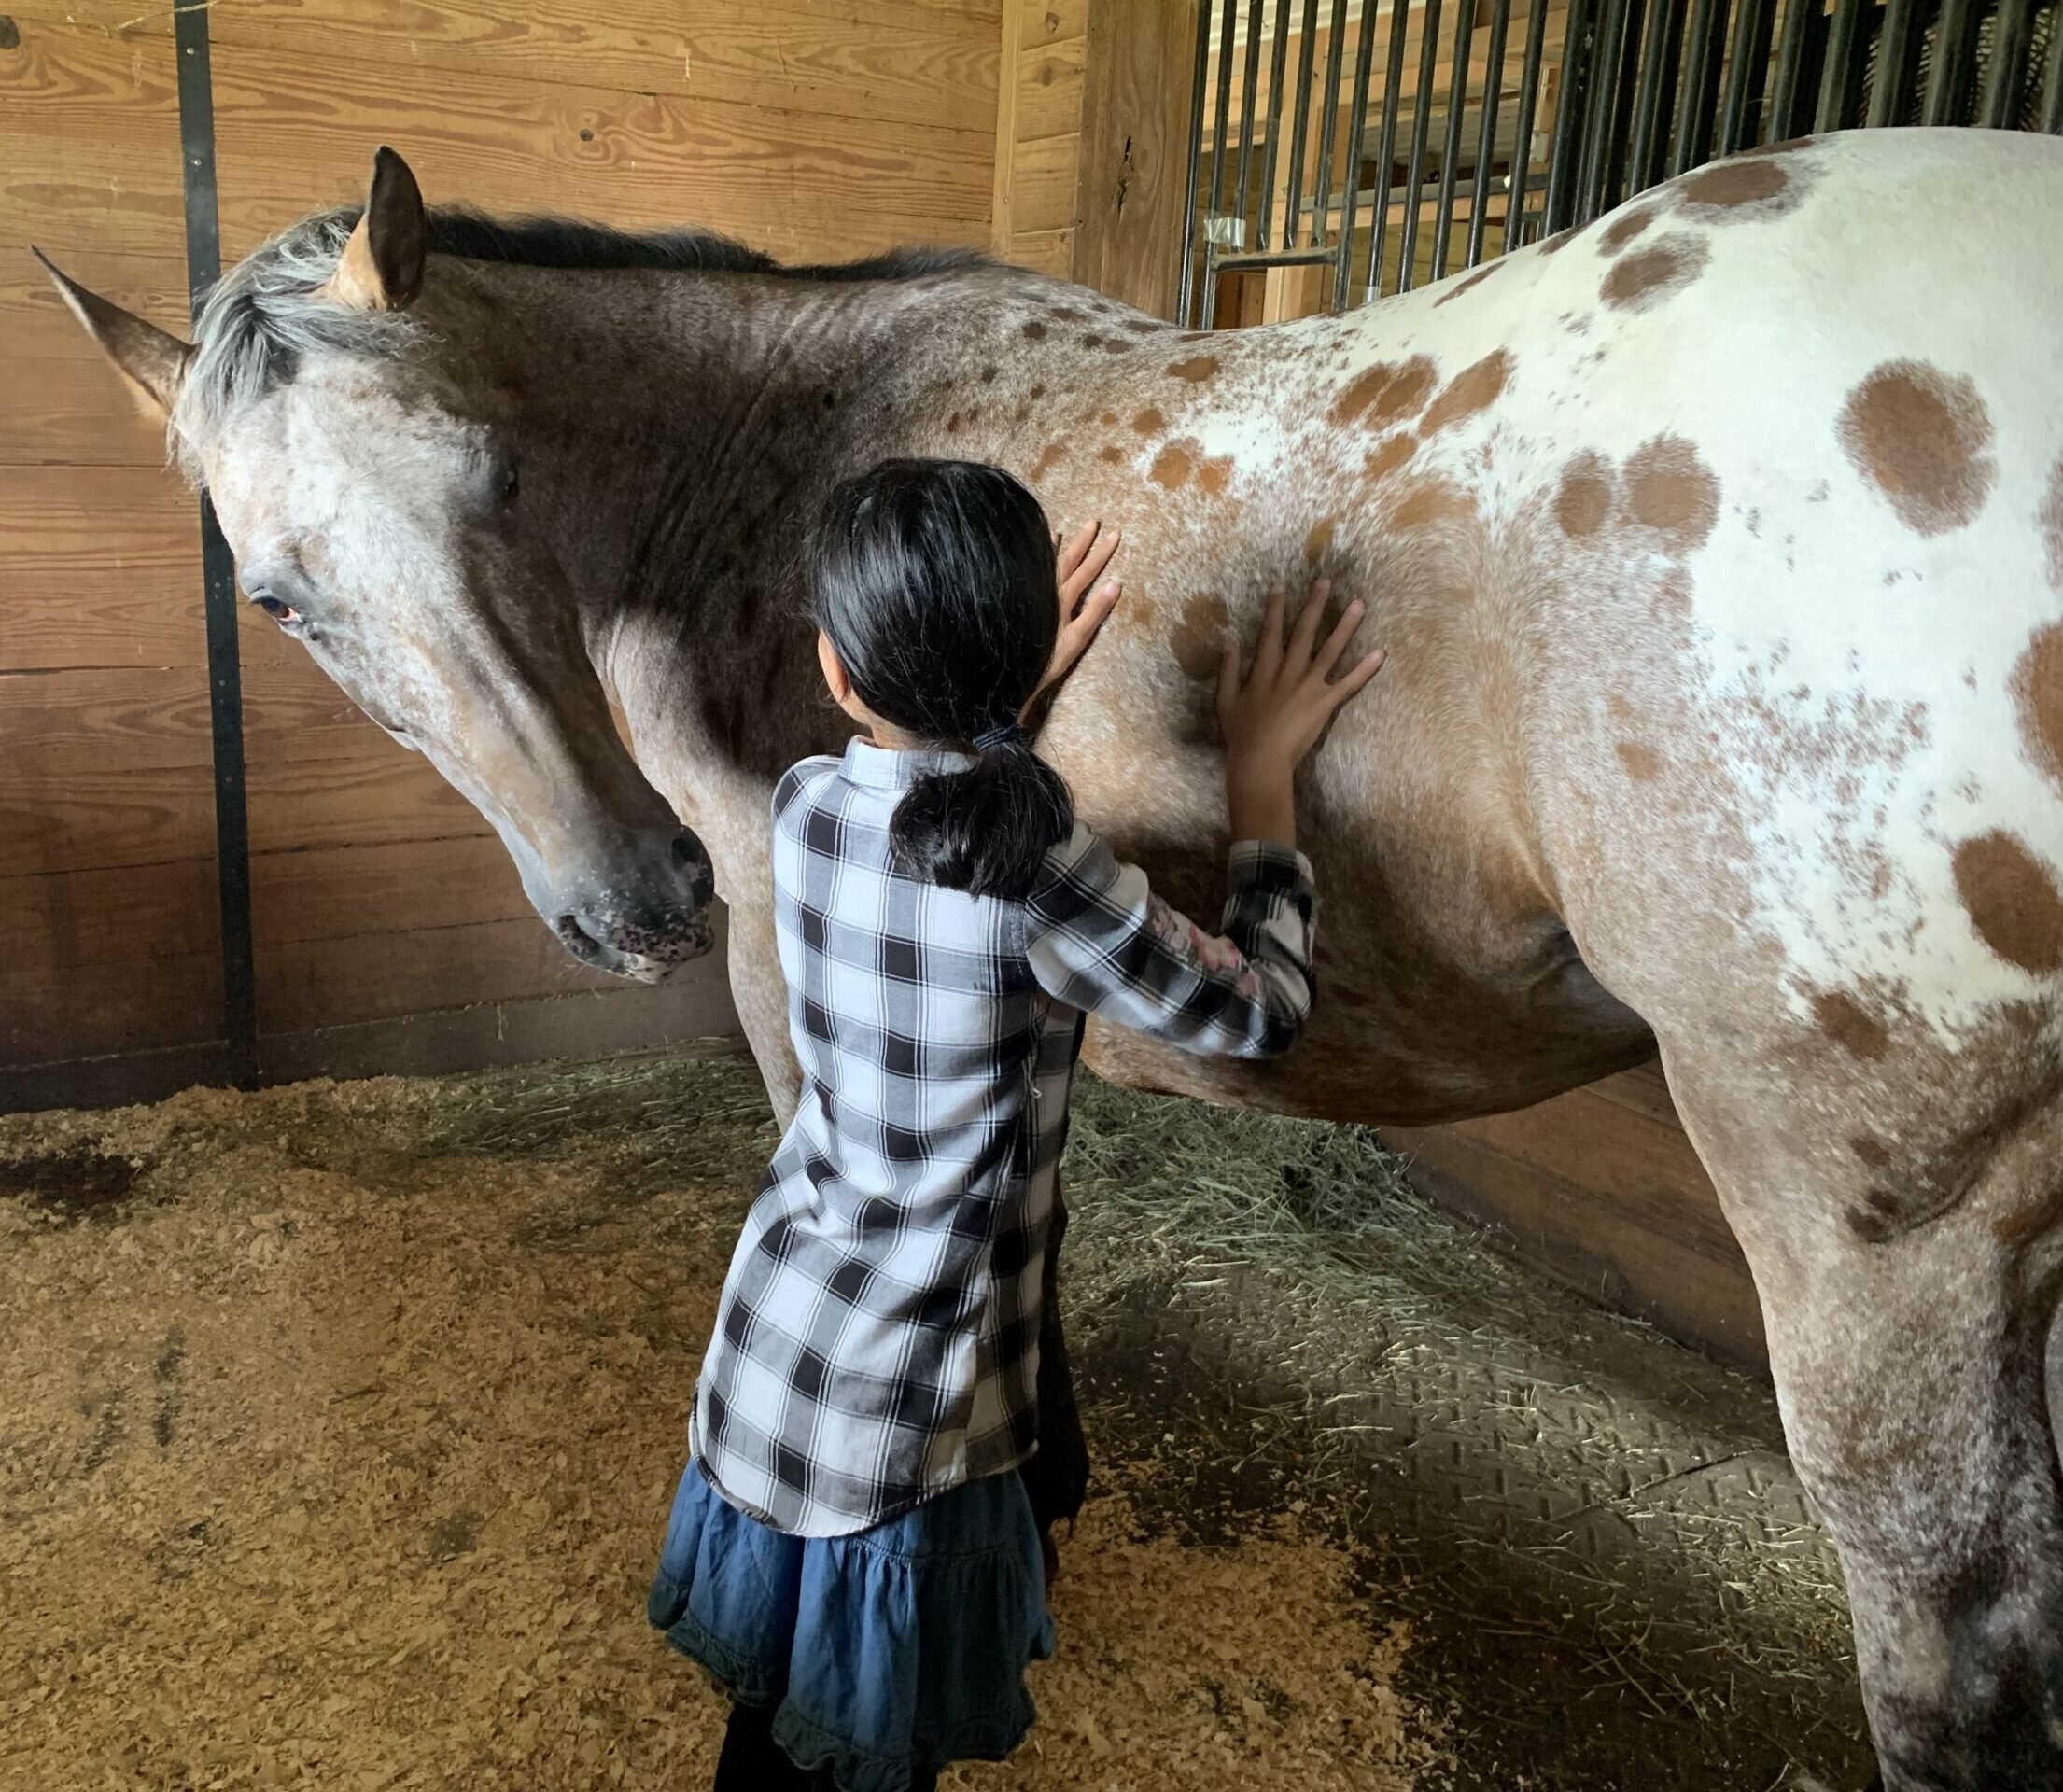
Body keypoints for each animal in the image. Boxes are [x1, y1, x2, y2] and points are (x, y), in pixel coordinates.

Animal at [44, 129, 2063, 1789]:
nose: (629, 899)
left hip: (1875, 1236)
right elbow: (1028, 1218)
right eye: (278, 598)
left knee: (1947, 1630)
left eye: (499, 482)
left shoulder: (793, 962)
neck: (775, 447)